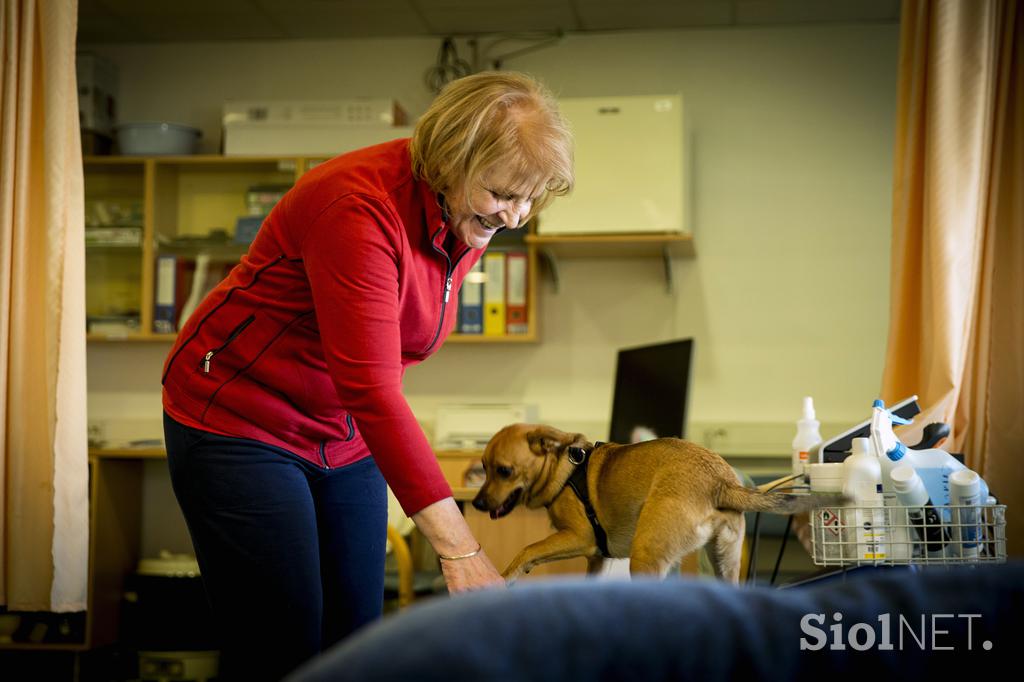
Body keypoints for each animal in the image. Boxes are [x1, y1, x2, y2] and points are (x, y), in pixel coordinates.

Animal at [471, 421, 839, 581]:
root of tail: (720, 483)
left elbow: (528, 550)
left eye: (504, 471)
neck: (565, 472)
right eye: (483, 467)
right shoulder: (596, 558)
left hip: (645, 557)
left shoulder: (578, 538)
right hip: (725, 561)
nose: (476, 504)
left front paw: (507, 575)